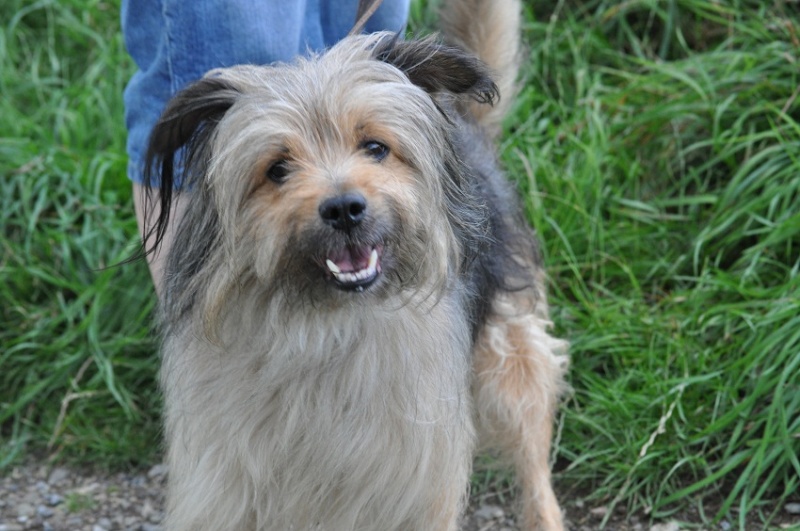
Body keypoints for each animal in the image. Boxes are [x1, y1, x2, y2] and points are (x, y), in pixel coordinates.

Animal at [142, 2, 568, 528]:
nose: (344, 209)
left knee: (533, 456)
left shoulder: (408, 482)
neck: (322, 326)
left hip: (510, 356)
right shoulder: (233, 480)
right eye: (277, 169)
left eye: (375, 147)